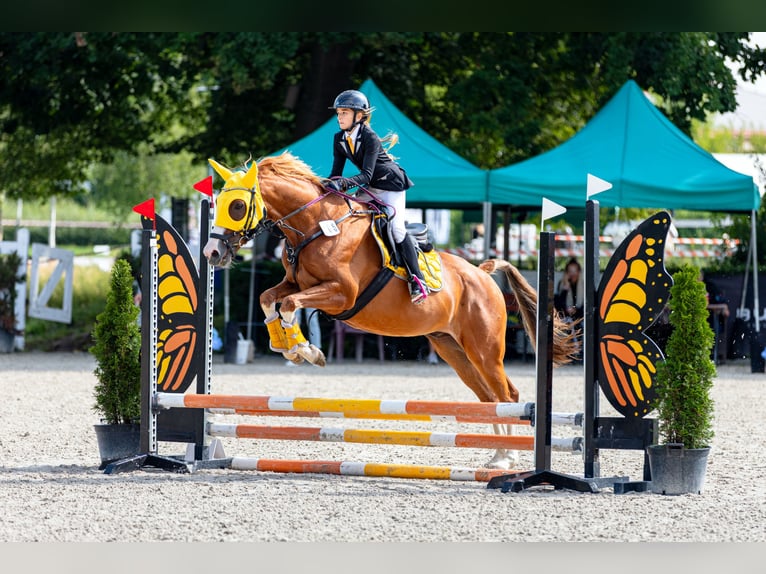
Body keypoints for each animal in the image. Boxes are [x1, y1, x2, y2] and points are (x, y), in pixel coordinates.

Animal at [202, 152, 579, 469]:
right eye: (218, 203)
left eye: (237, 206)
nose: (211, 254)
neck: (315, 226)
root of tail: (483, 274)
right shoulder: (294, 283)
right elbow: (269, 298)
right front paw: (285, 344)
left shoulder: (342, 295)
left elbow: (291, 304)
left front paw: (305, 350)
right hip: (453, 349)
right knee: (489, 399)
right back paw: (498, 455)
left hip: (484, 349)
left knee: (507, 395)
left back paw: (508, 458)